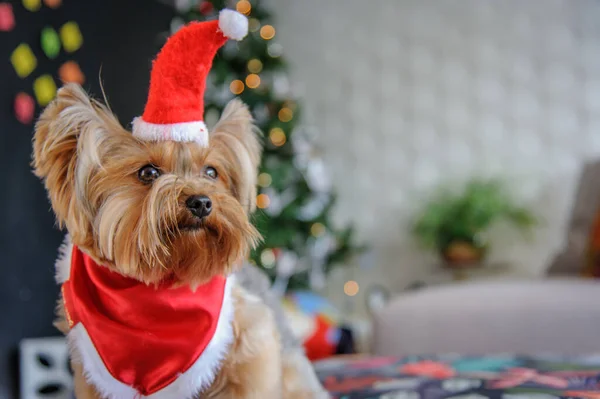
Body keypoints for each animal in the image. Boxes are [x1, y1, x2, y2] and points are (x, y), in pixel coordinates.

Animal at [32, 82, 328, 399]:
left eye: (211, 172)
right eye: (148, 172)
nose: (201, 202)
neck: (165, 283)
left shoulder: (252, 349)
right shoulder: (92, 378)